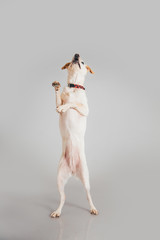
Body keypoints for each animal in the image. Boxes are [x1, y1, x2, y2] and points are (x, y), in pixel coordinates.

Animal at [51, 54, 99, 218]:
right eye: (73, 58)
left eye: (82, 62)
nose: (76, 55)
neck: (74, 86)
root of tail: (72, 171)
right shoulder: (58, 103)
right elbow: (59, 101)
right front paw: (57, 87)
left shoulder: (85, 110)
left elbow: (73, 104)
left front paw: (65, 107)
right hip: (59, 178)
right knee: (63, 197)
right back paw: (57, 211)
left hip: (86, 178)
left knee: (88, 195)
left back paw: (93, 208)